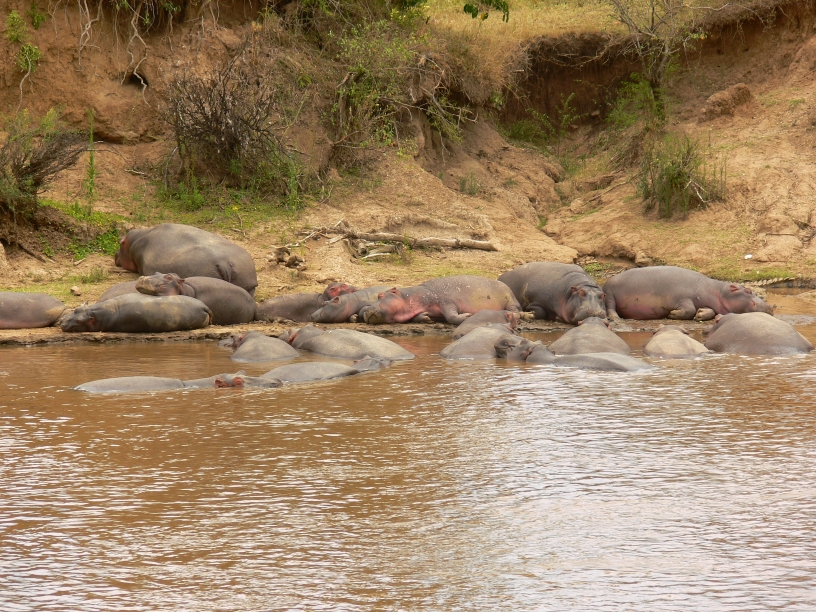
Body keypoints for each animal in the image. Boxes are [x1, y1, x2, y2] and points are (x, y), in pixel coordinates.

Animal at [361, 275, 520, 325]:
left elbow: (451, 316)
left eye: (381, 295)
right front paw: (425, 317)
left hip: (509, 298)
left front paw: (467, 316)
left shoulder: (446, 301)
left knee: (516, 310)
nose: (367, 310)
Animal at [603, 266, 772, 321]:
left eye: (756, 291)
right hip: (610, 293)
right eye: (749, 290)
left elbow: (708, 311)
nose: (770, 306)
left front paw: (700, 314)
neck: (718, 292)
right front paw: (672, 314)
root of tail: (606, 281)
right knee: (610, 307)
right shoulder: (682, 297)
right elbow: (688, 309)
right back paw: (615, 318)